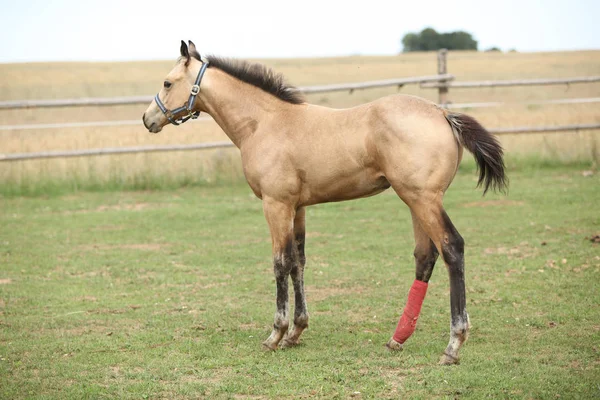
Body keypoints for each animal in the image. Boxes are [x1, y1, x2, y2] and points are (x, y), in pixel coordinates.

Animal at [144, 41, 506, 366]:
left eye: (167, 82)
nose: (148, 119)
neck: (264, 122)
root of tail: (443, 114)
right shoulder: (298, 207)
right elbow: (298, 261)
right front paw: (296, 332)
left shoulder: (276, 205)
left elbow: (280, 263)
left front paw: (276, 333)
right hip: (416, 201)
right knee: (425, 257)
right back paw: (397, 339)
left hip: (423, 200)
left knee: (451, 248)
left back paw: (453, 344)